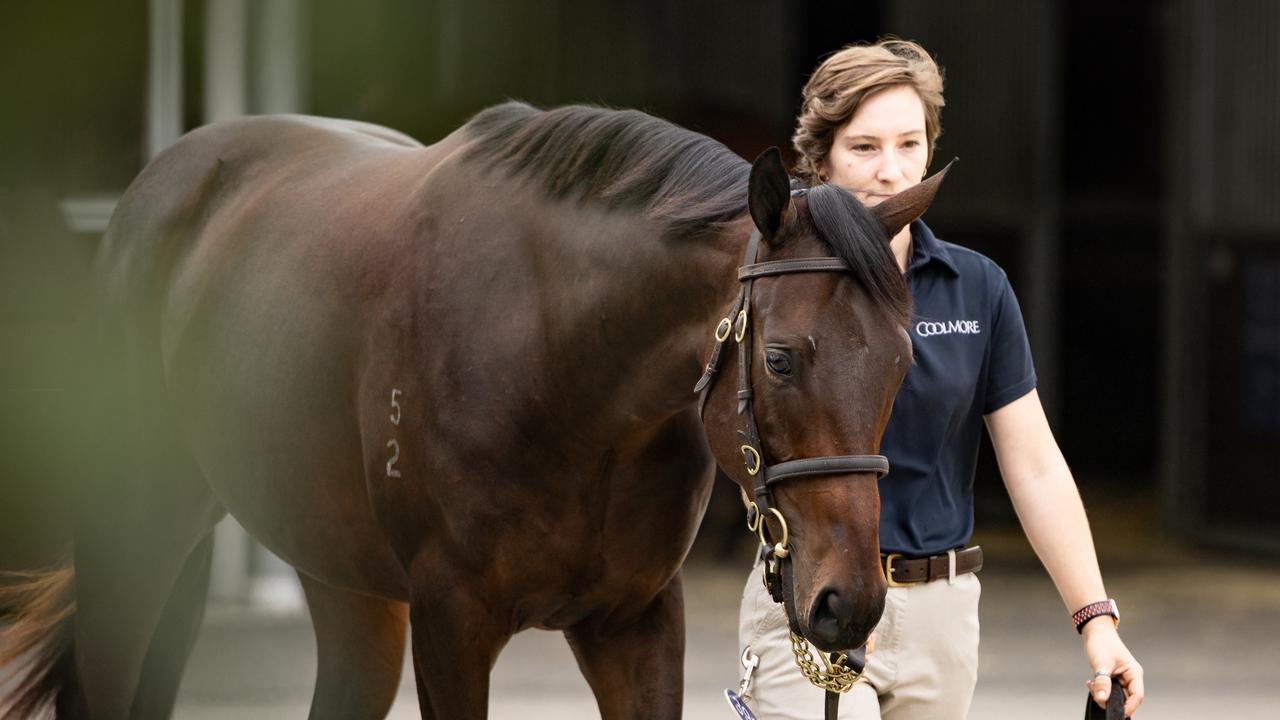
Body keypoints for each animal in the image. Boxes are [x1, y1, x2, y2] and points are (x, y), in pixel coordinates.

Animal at [0, 102, 942, 717]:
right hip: (136, 542)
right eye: (780, 360)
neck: (564, 362)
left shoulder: (635, 623)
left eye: (902, 362)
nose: (850, 603)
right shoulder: (451, 625)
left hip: (344, 579)